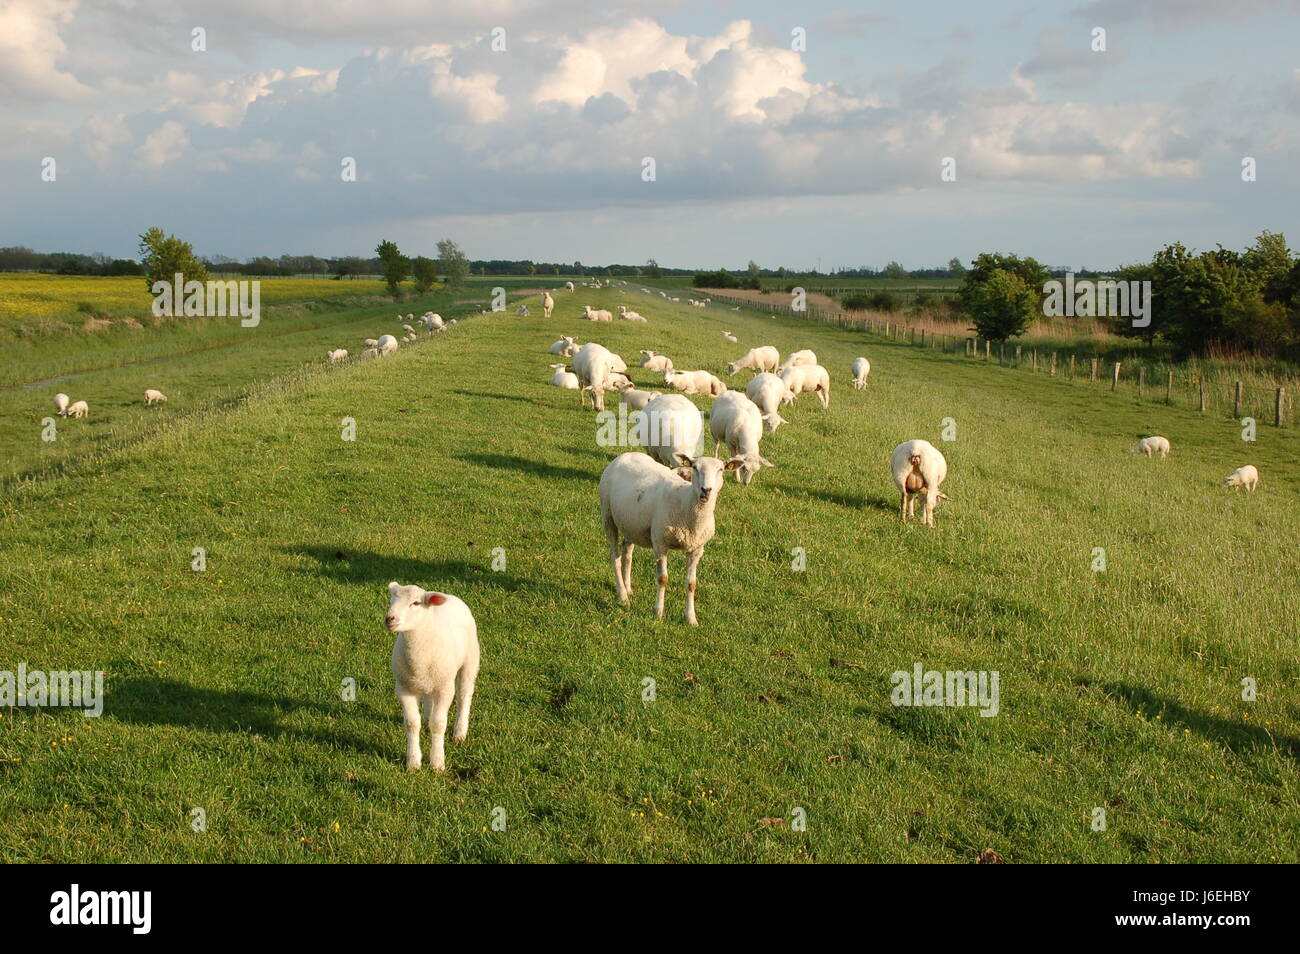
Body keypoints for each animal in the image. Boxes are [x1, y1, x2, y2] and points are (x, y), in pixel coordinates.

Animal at [387, 582, 486, 779]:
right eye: (391, 600)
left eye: (416, 603)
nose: (390, 619)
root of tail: (450, 596)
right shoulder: (403, 688)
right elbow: (412, 723)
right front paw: (413, 762)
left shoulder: (445, 689)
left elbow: (439, 724)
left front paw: (437, 763)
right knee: (428, 700)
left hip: (470, 660)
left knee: (464, 696)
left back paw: (460, 732)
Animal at [598, 454, 743, 629]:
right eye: (695, 467)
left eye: (721, 469)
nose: (706, 490)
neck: (686, 504)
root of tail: (625, 455)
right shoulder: (660, 543)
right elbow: (662, 579)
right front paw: (658, 612)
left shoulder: (696, 549)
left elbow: (691, 583)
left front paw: (691, 618)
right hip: (607, 515)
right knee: (615, 556)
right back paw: (623, 595)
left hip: (631, 524)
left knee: (627, 553)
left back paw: (628, 588)